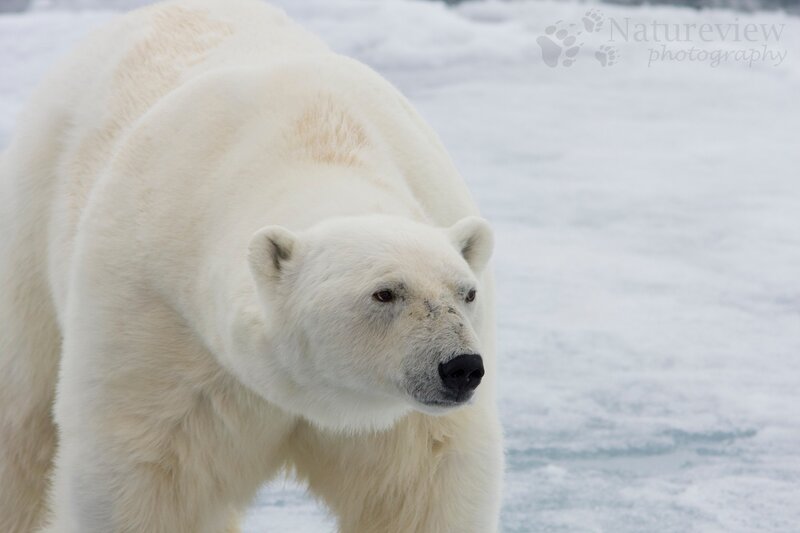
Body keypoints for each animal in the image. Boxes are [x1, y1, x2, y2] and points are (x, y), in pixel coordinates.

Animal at [0, 1, 504, 532]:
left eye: (467, 292)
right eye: (385, 292)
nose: (461, 367)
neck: (313, 137)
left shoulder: (405, 418)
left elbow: (428, 481)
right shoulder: (157, 316)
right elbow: (142, 473)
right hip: (33, 221)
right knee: (21, 423)